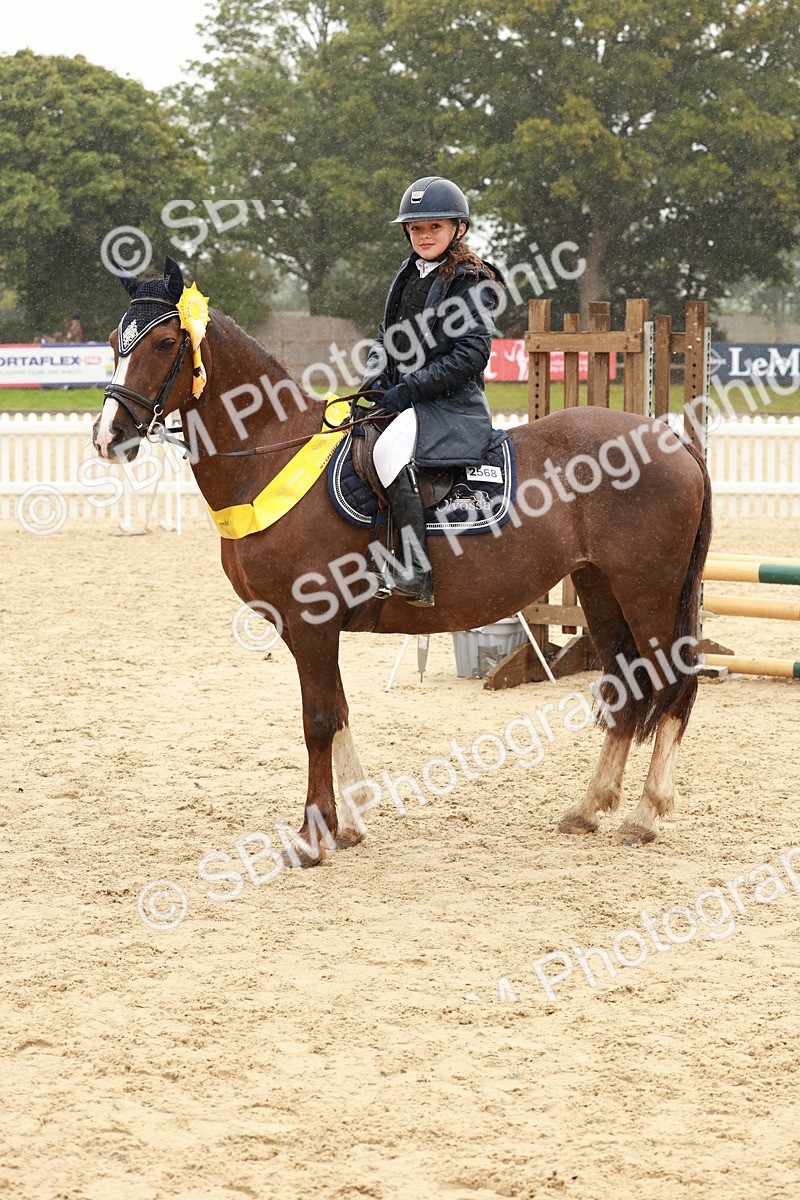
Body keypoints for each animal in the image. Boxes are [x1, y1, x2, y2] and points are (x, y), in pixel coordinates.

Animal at [93, 257, 712, 857]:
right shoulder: (300, 628)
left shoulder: (311, 623)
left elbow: (317, 721)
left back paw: (646, 815)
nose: (108, 436)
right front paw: (349, 823)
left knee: (672, 684)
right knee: (626, 686)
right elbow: (339, 712)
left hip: (646, 593)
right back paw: (589, 808)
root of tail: (671, 441)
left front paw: (313, 837)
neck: (271, 455)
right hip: (599, 589)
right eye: (115, 341)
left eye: (164, 343)